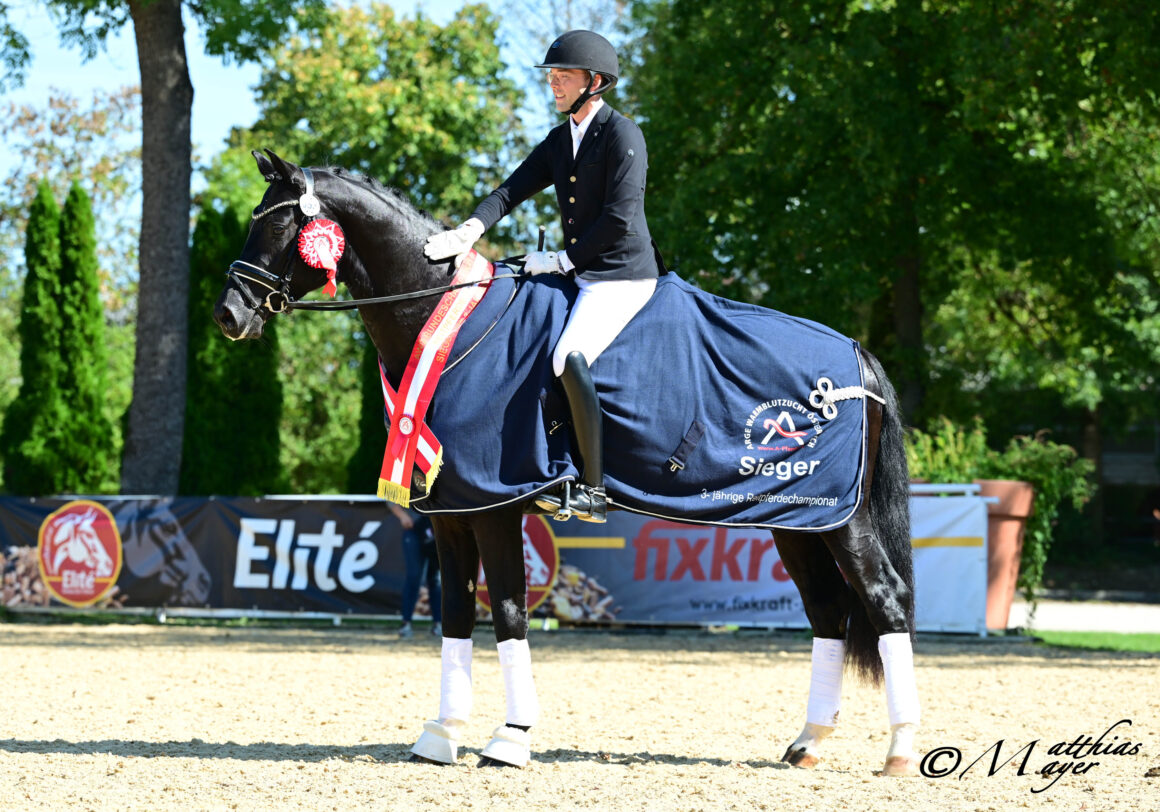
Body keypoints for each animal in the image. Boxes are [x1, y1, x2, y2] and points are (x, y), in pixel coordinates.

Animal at [215, 149, 923, 774]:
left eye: (276, 224)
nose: (229, 314)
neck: (447, 320)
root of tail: (856, 355)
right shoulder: (451, 513)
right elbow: (454, 617)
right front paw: (441, 735)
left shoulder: (494, 507)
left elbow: (506, 614)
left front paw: (510, 739)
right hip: (794, 521)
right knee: (827, 612)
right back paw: (807, 743)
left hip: (844, 520)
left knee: (883, 600)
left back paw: (900, 750)